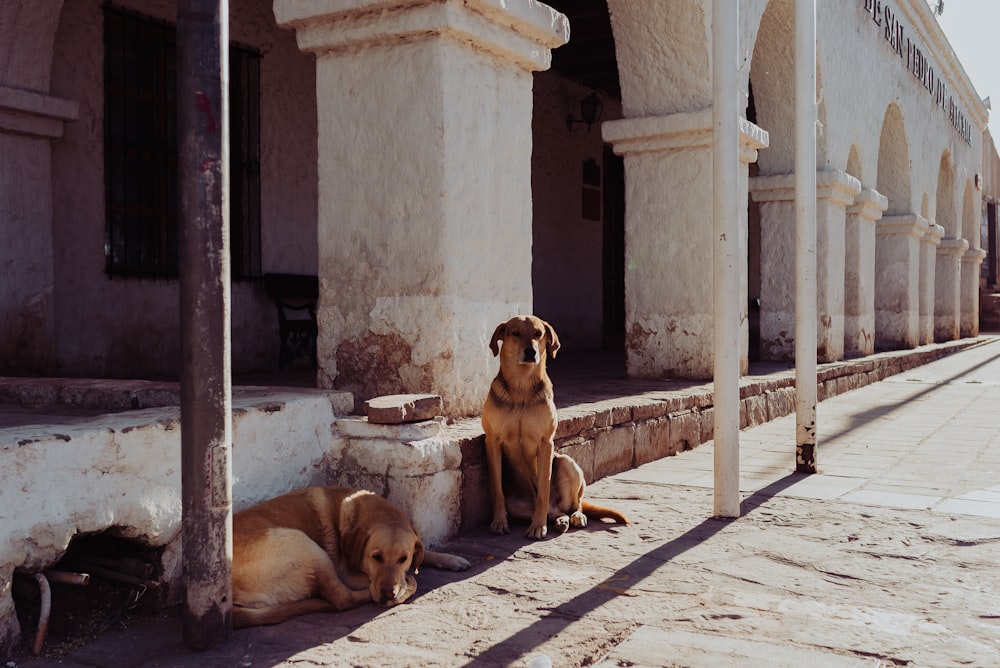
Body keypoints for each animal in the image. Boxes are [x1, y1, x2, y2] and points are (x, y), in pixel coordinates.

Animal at [232, 486, 470, 628]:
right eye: (376, 557)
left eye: (404, 558)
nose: (388, 593)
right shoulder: (349, 573)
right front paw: (406, 583)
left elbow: (423, 550)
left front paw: (450, 558)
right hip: (304, 544)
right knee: (342, 599)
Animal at [480, 316, 628, 540]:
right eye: (515, 333)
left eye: (538, 334)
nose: (530, 351)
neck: (521, 388)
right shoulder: (493, 442)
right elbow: (497, 490)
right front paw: (499, 522)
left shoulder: (545, 443)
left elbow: (543, 488)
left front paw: (537, 527)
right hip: (518, 506)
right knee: (556, 512)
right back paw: (560, 521)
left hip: (568, 463)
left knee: (575, 505)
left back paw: (575, 517)